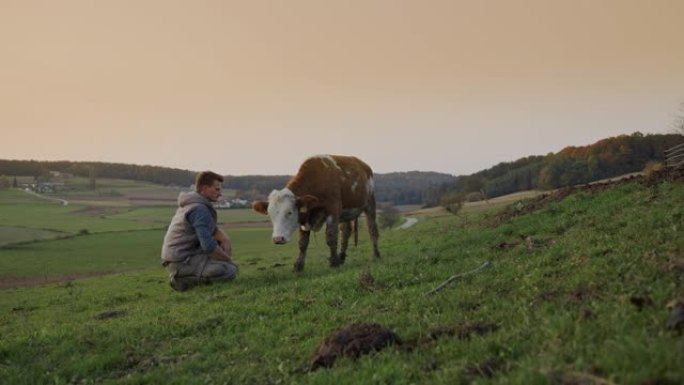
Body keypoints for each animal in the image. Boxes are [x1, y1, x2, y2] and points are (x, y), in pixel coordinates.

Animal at [252, 154, 382, 272]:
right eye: (270, 214)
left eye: (289, 212)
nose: (278, 239)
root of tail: (363, 164)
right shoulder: (305, 217)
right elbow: (303, 243)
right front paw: (299, 266)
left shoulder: (332, 210)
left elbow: (331, 237)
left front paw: (334, 263)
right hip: (345, 213)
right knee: (345, 232)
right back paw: (342, 257)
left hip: (370, 203)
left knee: (372, 229)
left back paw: (376, 254)